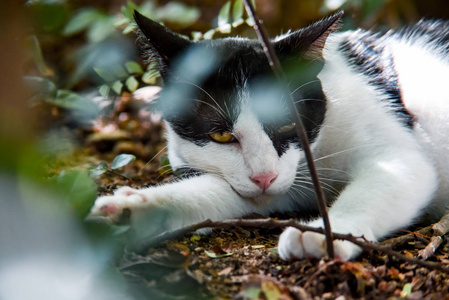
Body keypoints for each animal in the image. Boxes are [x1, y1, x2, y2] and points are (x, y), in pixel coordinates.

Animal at [89, 10, 448, 262]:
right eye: (222, 135)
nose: (265, 176)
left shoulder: (399, 156)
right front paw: (136, 208)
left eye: (289, 126)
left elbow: (392, 178)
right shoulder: (281, 185)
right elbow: (221, 192)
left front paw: (325, 234)